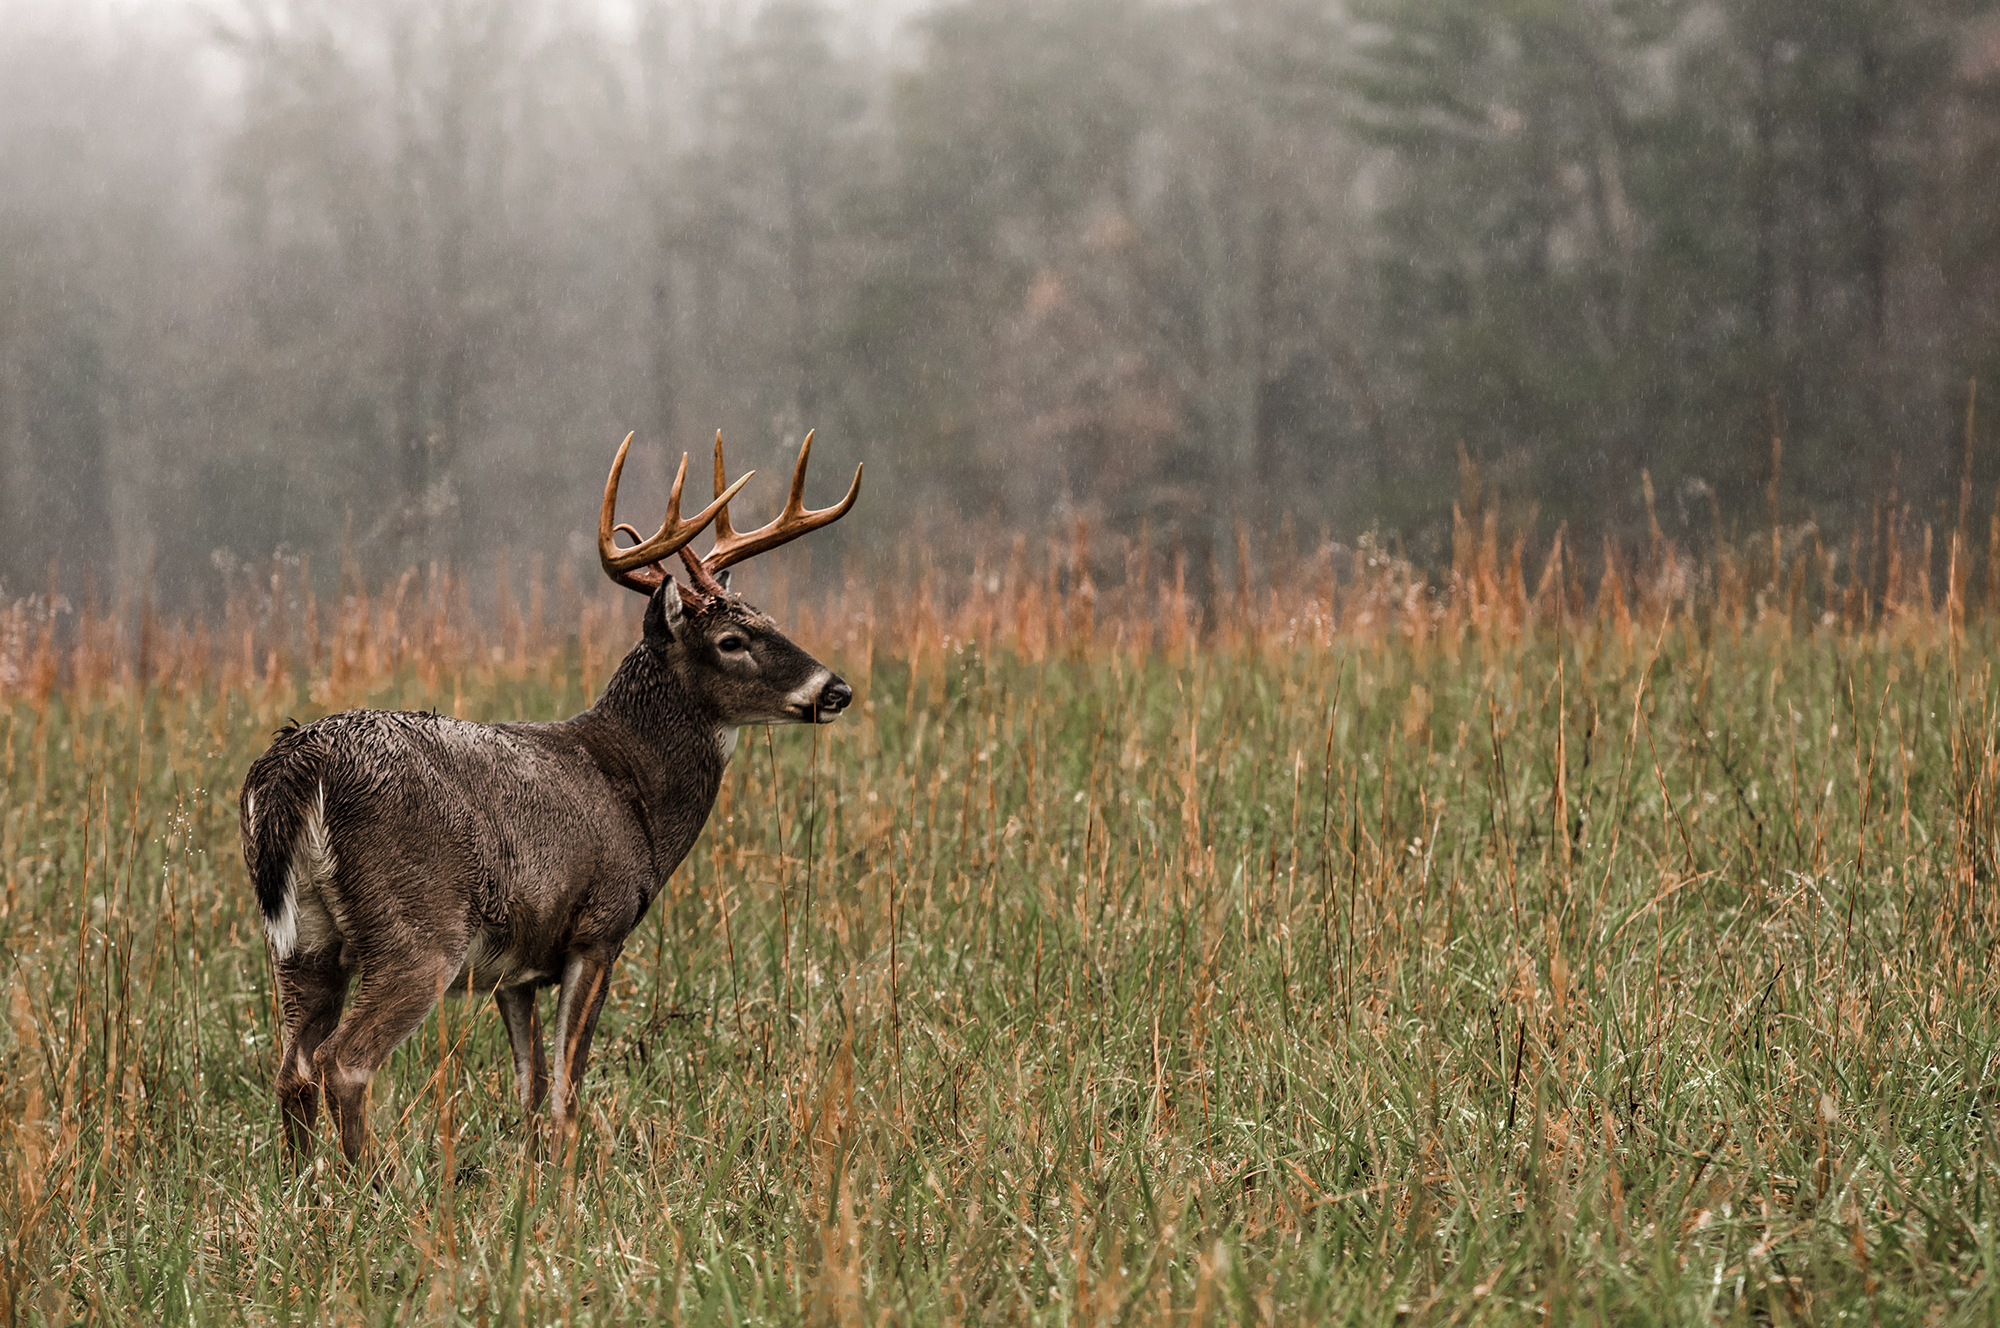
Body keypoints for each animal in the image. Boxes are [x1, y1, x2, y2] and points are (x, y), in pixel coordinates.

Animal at [240, 430, 860, 1160]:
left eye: (772, 618)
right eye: (731, 640)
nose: (836, 689)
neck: (635, 792)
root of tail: (299, 759)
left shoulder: (520, 969)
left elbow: (531, 1089)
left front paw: (532, 1170)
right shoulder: (598, 927)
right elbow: (566, 1089)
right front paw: (568, 1172)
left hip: (302, 939)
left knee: (293, 1069)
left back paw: (305, 1182)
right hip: (416, 929)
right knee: (344, 1061)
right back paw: (369, 1178)